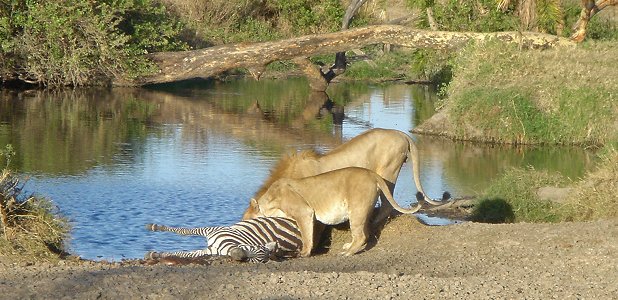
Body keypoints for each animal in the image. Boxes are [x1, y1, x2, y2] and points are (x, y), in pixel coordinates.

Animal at [143, 218, 300, 262]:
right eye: (255, 249)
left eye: (250, 260)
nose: (238, 255)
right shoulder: (210, 230)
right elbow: (183, 231)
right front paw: (154, 226)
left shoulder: (206, 250)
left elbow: (181, 254)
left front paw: (154, 254)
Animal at [243, 168, 422, 256]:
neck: (271, 201)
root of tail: (372, 174)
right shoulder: (311, 217)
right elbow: (311, 234)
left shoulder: (304, 212)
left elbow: (306, 235)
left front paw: (304, 253)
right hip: (362, 210)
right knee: (365, 232)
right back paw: (349, 246)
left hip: (356, 209)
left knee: (361, 236)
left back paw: (348, 253)